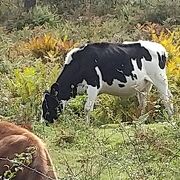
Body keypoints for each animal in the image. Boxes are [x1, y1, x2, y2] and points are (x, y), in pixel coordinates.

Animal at [41, 40, 174, 123]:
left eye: (47, 104)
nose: (43, 123)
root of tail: (161, 48)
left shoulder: (93, 86)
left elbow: (87, 108)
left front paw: (86, 126)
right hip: (145, 85)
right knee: (144, 103)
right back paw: (140, 120)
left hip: (160, 79)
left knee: (167, 99)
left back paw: (171, 120)